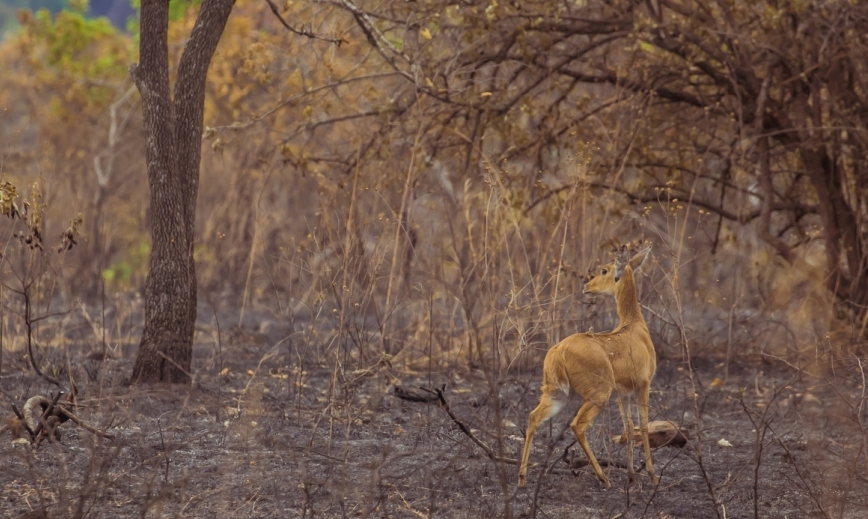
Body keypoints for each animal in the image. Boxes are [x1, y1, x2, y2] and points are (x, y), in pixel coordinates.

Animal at [516, 246, 656, 490]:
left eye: (604, 270)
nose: (586, 286)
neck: (637, 328)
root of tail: (558, 351)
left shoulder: (623, 393)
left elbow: (629, 428)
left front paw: (631, 476)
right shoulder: (644, 384)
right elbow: (644, 425)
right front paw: (652, 476)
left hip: (556, 392)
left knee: (533, 417)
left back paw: (522, 478)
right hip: (598, 394)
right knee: (577, 425)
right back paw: (603, 478)